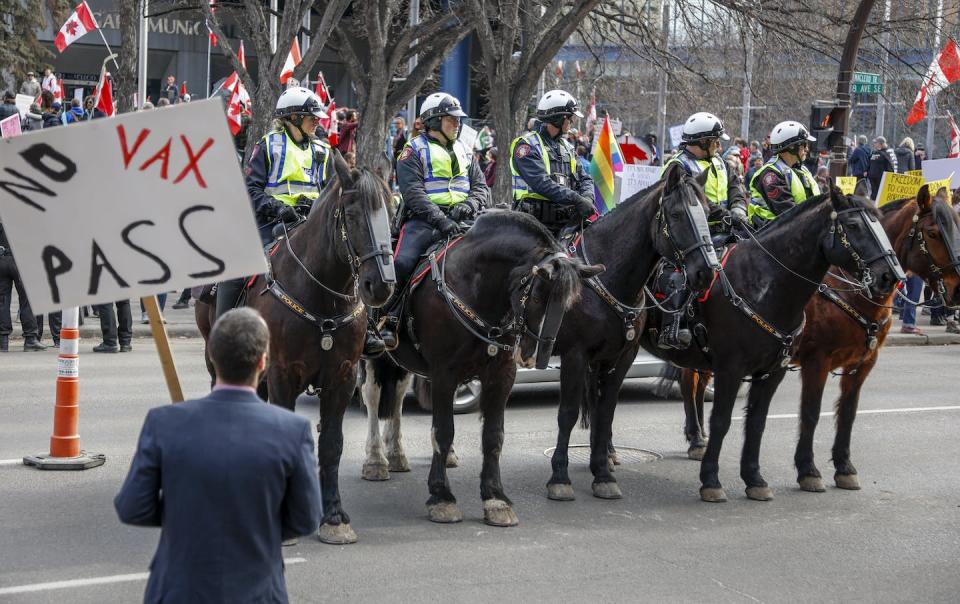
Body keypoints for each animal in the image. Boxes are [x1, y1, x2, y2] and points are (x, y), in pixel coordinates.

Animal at [197, 153, 396, 544]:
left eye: (392, 211)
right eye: (352, 214)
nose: (380, 285)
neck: (319, 295)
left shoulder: (342, 377)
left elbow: (331, 444)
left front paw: (332, 515)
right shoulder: (283, 374)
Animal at [366, 212, 600, 528]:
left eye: (568, 304)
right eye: (538, 297)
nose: (533, 356)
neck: (475, 288)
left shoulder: (501, 376)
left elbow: (493, 436)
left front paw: (495, 498)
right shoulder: (444, 373)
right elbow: (443, 431)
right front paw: (442, 497)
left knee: (398, 399)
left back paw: (397, 455)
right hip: (373, 355)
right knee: (372, 399)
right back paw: (376, 460)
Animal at [548, 165, 720, 500]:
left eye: (707, 212)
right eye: (676, 214)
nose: (706, 272)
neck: (605, 277)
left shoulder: (621, 356)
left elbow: (606, 411)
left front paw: (602, 473)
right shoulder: (575, 355)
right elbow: (568, 413)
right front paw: (560, 477)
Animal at [640, 186, 904, 502]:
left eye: (880, 224)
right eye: (853, 225)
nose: (891, 276)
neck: (763, 284)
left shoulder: (783, 371)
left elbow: (762, 421)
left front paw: (756, 478)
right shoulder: (746, 368)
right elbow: (730, 420)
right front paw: (713, 481)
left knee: (693, 384)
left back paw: (695, 440)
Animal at [680, 186, 960, 494]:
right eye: (932, 232)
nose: (958, 289)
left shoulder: (862, 364)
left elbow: (848, 413)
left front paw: (844, 467)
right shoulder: (817, 361)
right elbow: (810, 413)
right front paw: (808, 470)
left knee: (698, 383)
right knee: (688, 382)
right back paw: (696, 438)